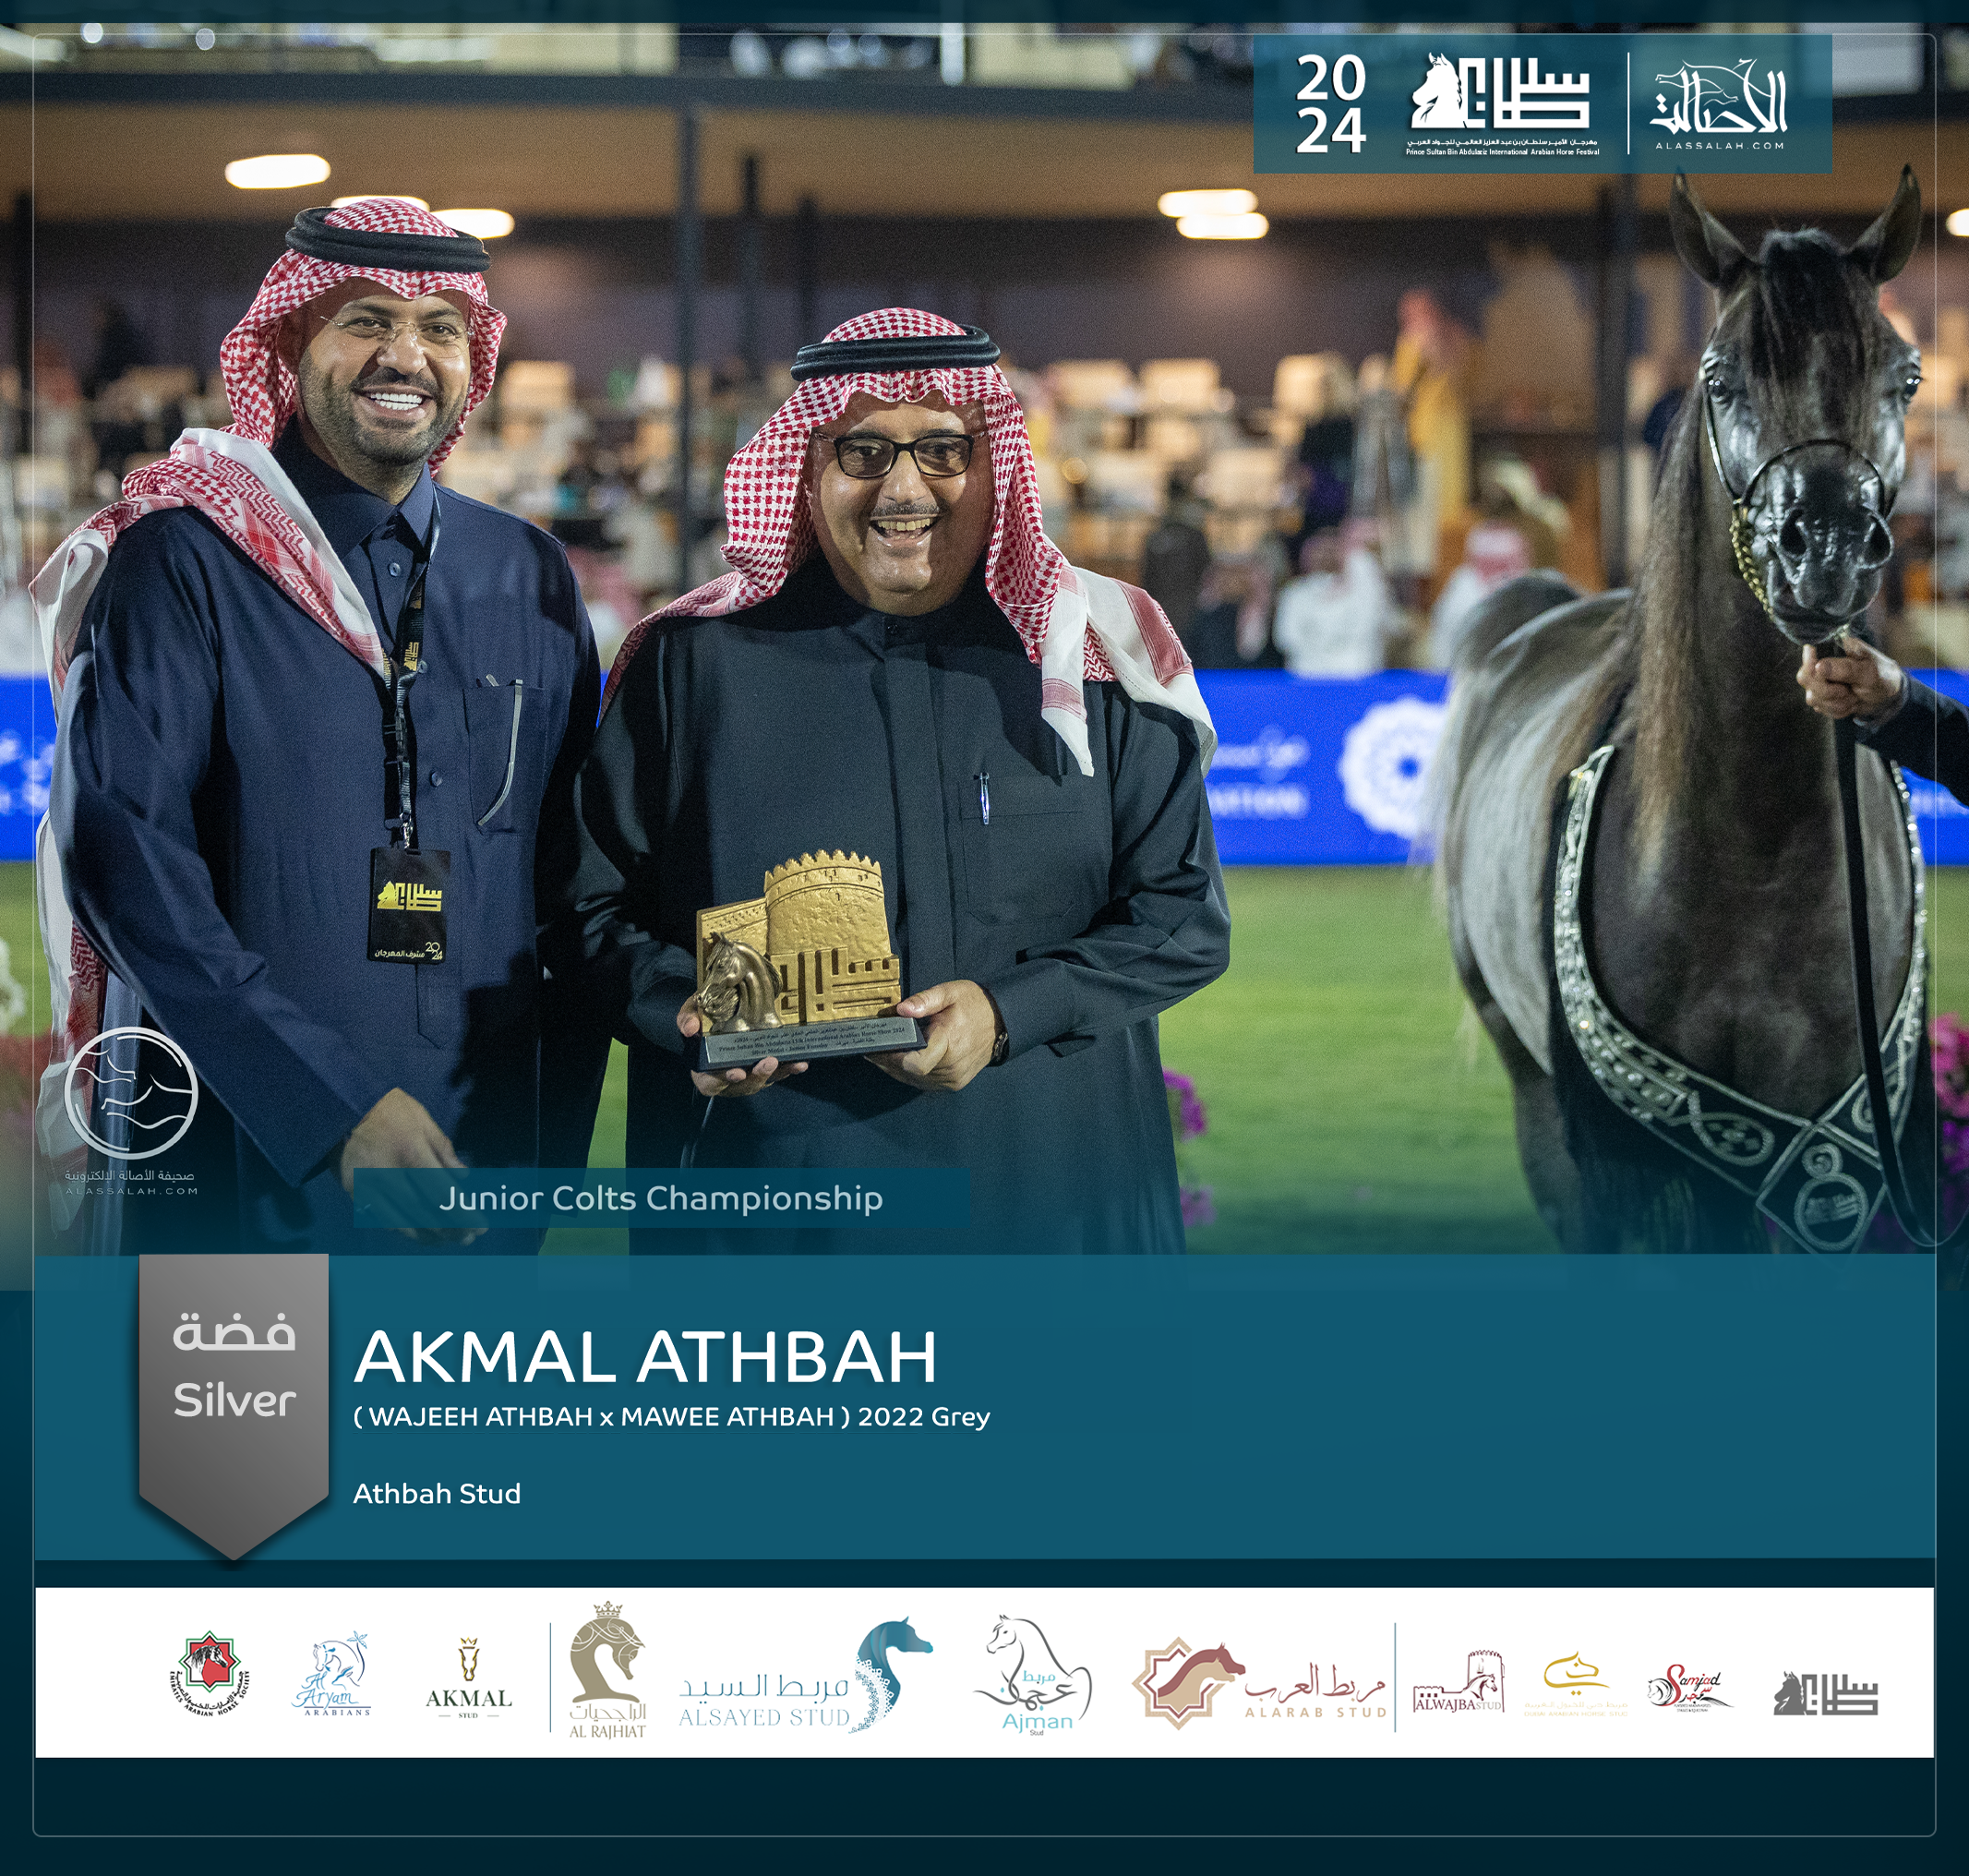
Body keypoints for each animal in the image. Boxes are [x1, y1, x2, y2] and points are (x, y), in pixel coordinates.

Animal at [1433, 167, 1930, 1256]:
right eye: (1719, 377)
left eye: (1907, 376)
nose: (1825, 550)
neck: (1757, 853)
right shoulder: (1625, 1164)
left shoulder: (1841, 1164)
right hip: (1530, 1086)